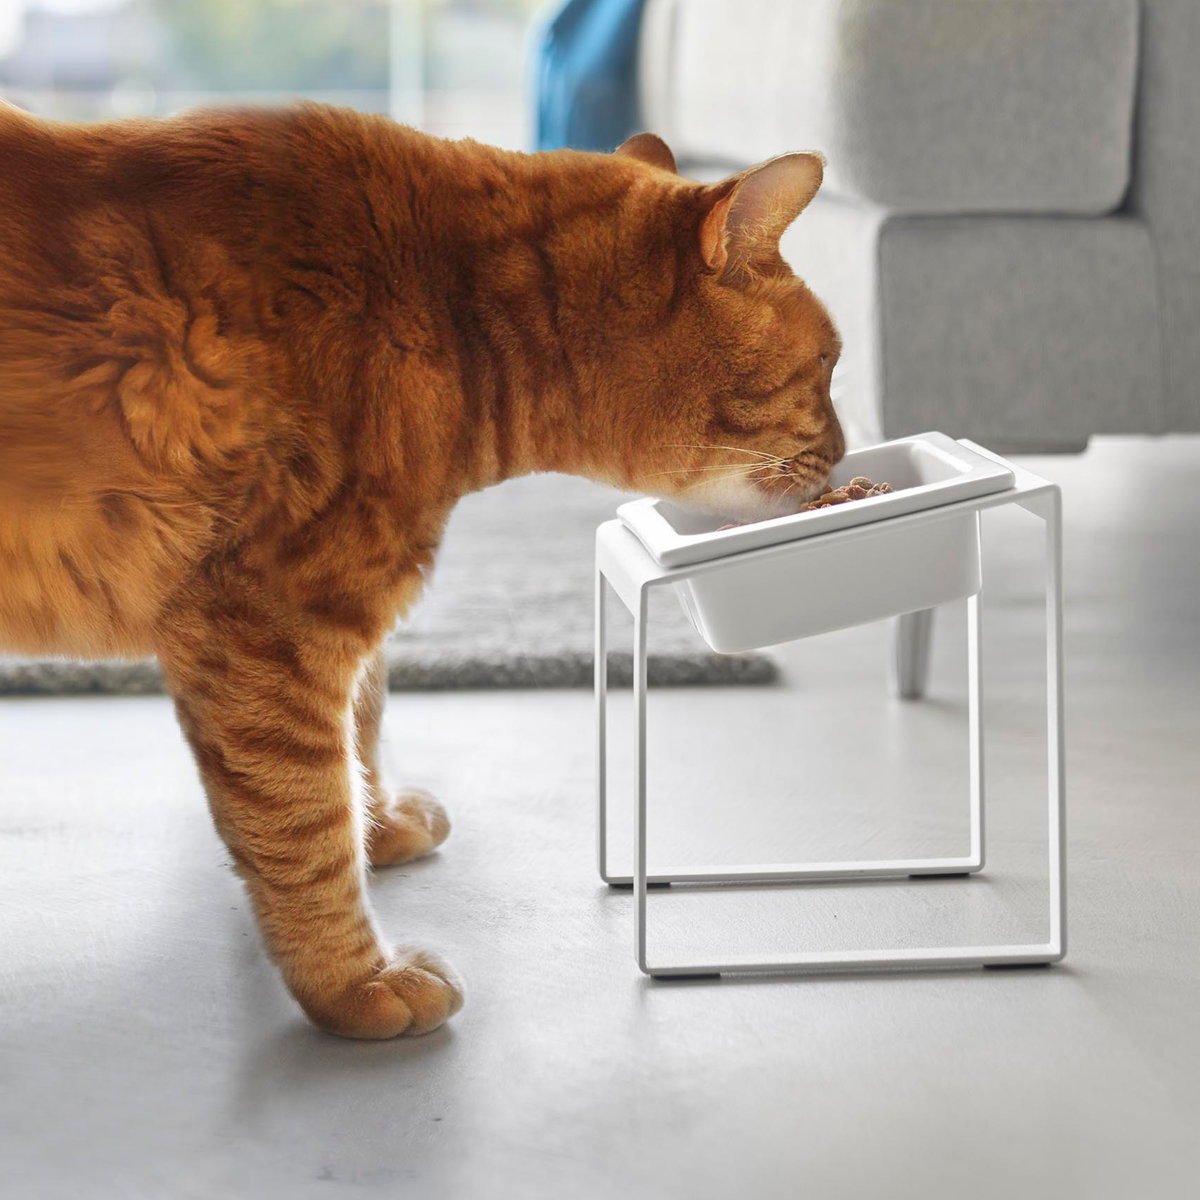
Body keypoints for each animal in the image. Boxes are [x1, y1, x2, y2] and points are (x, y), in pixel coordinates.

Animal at [0, 101, 844, 1038]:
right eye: (830, 364)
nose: (846, 455)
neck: (452, 309)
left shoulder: (336, 617)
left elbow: (358, 729)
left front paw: (376, 824)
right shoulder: (268, 625)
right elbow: (302, 818)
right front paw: (353, 981)